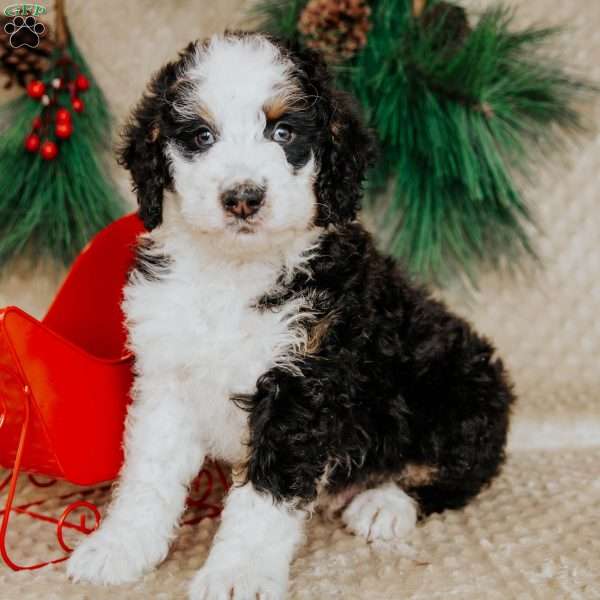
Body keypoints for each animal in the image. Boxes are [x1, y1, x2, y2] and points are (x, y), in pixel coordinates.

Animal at [68, 32, 512, 600]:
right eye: (201, 136)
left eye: (283, 132)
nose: (242, 198)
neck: (233, 273)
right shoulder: (168, 375)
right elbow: (149, 472)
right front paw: (120, 548)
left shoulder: (303, 384)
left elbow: (266, 494)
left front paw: (237, 574)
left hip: (459, 383)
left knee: (458, 472)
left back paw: (383, 501)